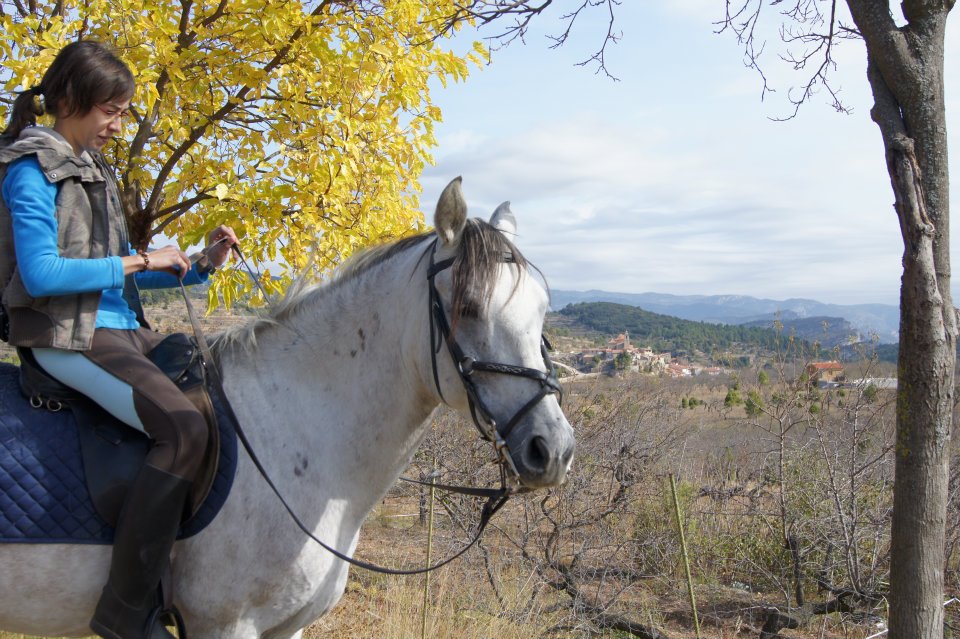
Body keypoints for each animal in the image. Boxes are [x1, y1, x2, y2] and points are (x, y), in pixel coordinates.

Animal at [0, 179, 572, 639]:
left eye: (543, 309)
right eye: (469, 309)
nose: (554, 450)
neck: (295, 433)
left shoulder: (285, 627)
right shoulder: (225, 626)